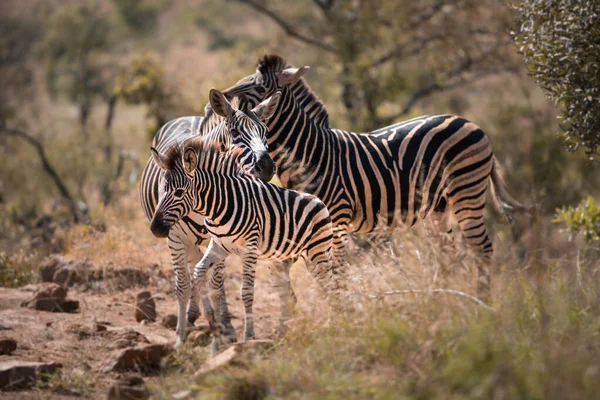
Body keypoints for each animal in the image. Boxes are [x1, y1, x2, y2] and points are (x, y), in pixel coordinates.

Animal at [140, 90, 278, 344]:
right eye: (234, 133)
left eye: (265, 131)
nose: (265, 166)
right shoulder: (175, 239)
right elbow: (183, 285)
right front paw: (180, 334)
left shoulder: (222, 238)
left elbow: (217, 283)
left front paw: (226, 326)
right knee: (193, 270)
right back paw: (195, 315)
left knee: (204, 273)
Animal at [220, 53, 528, 304]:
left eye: (259, 86)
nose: (221, 95)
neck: (309, 152)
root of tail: (469, 122)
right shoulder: (301, 220)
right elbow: (288, 266)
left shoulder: (335, 219)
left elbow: (336, 271)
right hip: (439, 205)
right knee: (448, 253)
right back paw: (444, 300)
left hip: (467, 191)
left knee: (482, 249)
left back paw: (482, 304)